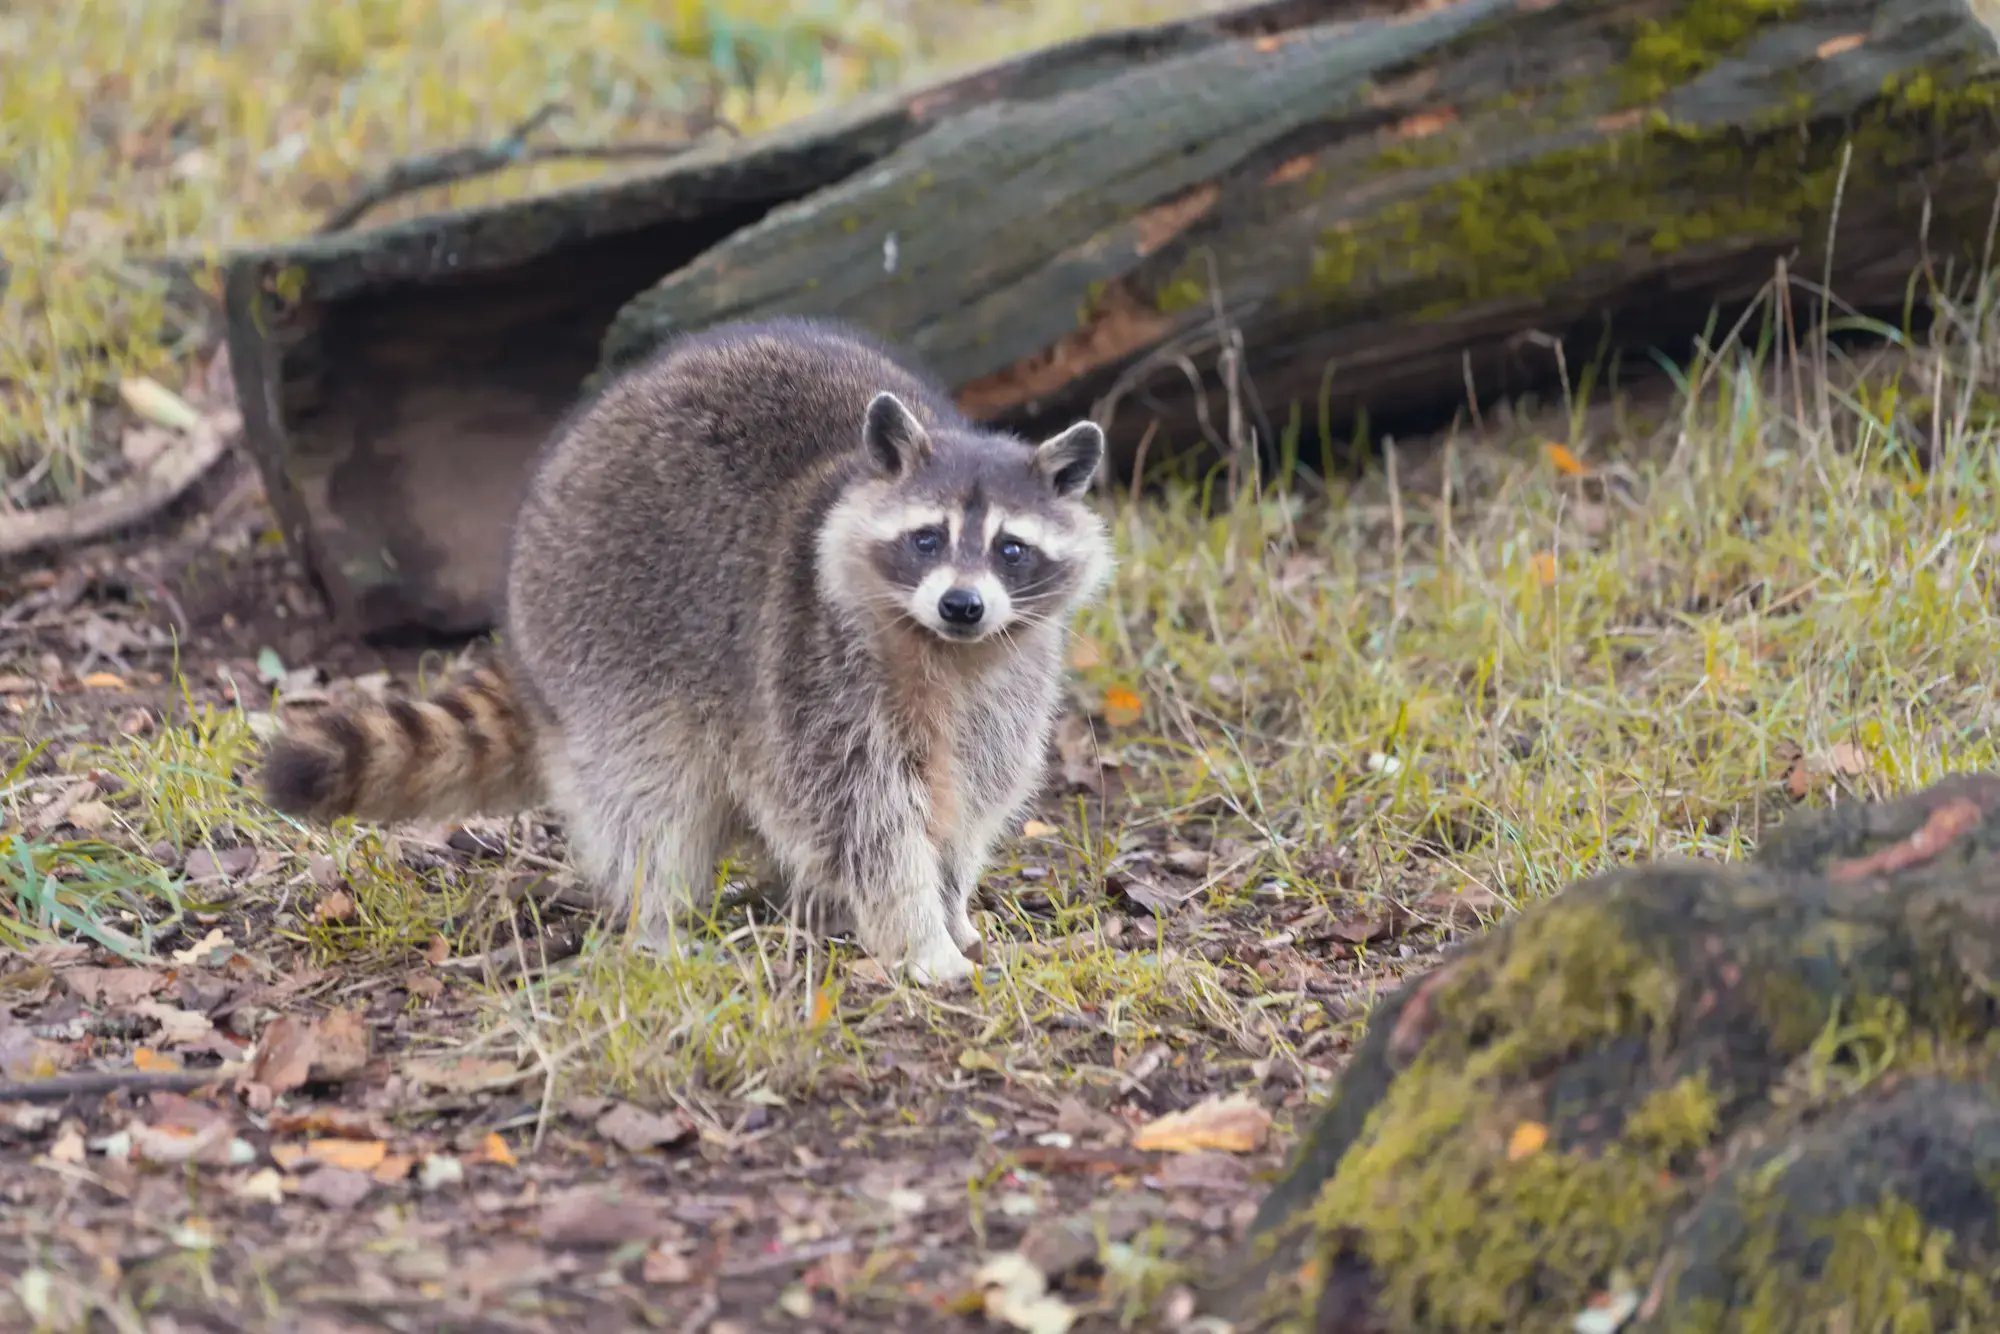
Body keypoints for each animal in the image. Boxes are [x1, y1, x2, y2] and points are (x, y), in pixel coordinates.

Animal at [260, 317, 1114, 985]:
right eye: (928, 538)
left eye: (1010, 549)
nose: (961, 605)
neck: (943, 651)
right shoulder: (811, 665)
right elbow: (865, 820)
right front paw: (919, 936)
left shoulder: (1009, 686)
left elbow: (970, 803)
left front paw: (953, 903)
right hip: (599, 643)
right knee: (650, 799)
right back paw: (660, 923)